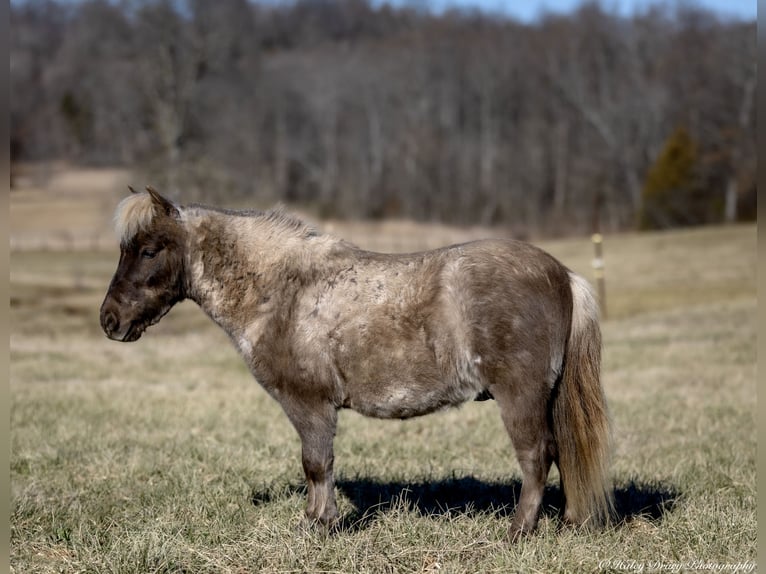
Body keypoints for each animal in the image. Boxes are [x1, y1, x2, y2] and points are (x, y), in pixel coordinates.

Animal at [100, 188, 616, 540]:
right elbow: (318, 465)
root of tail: (562, 275)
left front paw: (318, 523)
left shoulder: (309, 405)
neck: (283, 292)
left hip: (519, 397)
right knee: (562, 453)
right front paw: (317, 519)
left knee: (537, 457)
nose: (110, 320)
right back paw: (568, 522)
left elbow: (316, 463)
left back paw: (517, 531)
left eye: (148, 250)